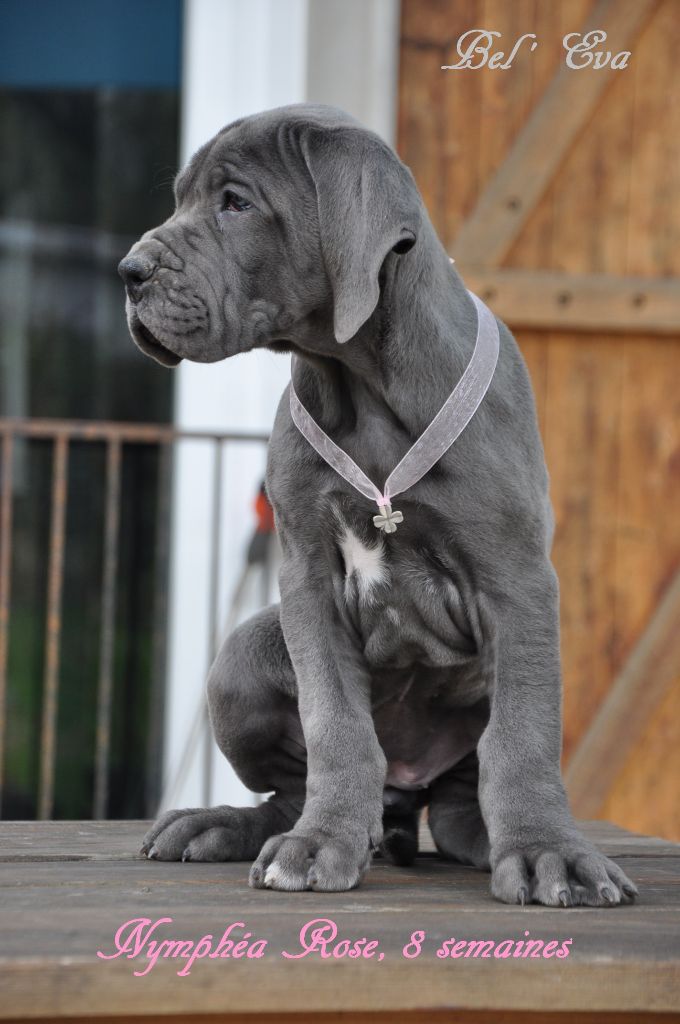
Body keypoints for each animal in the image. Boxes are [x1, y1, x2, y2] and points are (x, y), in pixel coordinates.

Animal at [119, 104, 637, 906]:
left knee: (462, 793)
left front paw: (548, 851)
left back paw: (483, 836)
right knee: (291, 791)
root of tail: (406, 794)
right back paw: (231, 825)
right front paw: (323, 841)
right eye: (178, 201)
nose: (129, 273)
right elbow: (335, 722)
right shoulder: (308, 580)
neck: (362, 383)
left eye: (236, 204)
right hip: (240, 660)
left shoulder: (518, 581)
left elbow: (521, 734)